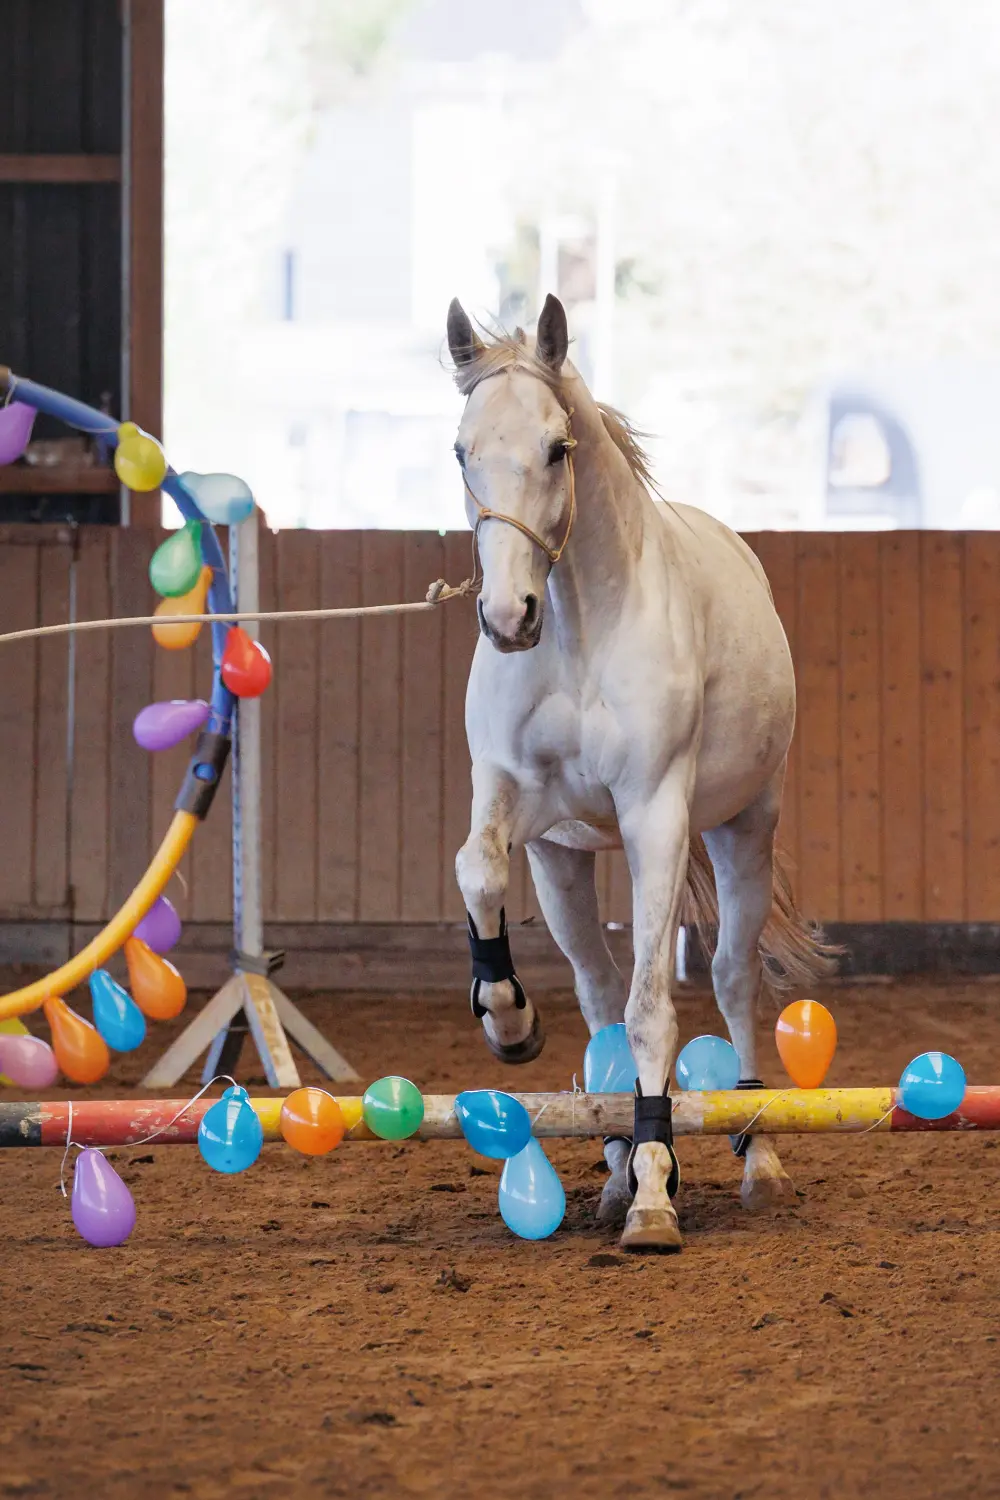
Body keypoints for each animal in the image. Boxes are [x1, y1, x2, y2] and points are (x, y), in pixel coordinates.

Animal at [448, 293, 834, 1252]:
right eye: (463, 450)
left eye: (557, 447)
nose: (508, 617)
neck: (580, 629)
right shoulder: (516, 804)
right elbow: (478, 872)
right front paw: (508, 1021)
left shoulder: (656, 814)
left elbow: (655, 1005)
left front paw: (658, 1193)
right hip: (566, 861)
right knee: (595, 993)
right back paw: (616, 1157)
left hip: (742, 830)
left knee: (731, 976)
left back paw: (754, 1156)